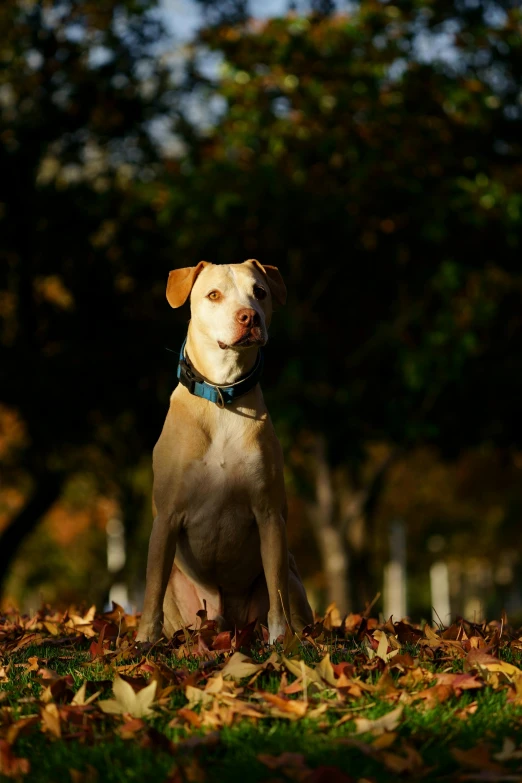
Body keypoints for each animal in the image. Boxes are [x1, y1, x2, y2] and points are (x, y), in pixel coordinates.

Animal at [136, 258, 310, 644]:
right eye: (213, 295)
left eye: (259, 292)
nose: (249, 316)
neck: (222, 397)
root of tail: (227, 622)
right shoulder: (167, 518)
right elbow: (152, 588)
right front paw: (143, 641)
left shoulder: (269, 516)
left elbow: (276, 588)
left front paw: (281, 641)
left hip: (293, 575)